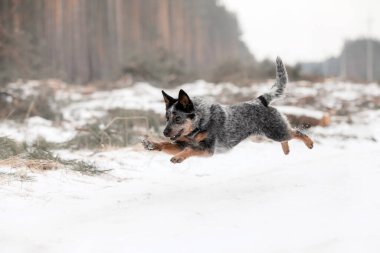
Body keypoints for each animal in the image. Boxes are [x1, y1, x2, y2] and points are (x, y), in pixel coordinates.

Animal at [141, 56, 314, 164]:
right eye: (166, 117)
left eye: (177, 118)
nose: (164, 132)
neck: (201, 122)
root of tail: (260, 100)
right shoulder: (181, 144)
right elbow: (166, 145)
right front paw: (152, 144)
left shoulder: (207, 149)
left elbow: (189, 150)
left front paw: (179, 157)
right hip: (273, 133)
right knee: (289, 135)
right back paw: (286, 150)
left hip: (275, 132)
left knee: (297, 132)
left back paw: (310, 143)